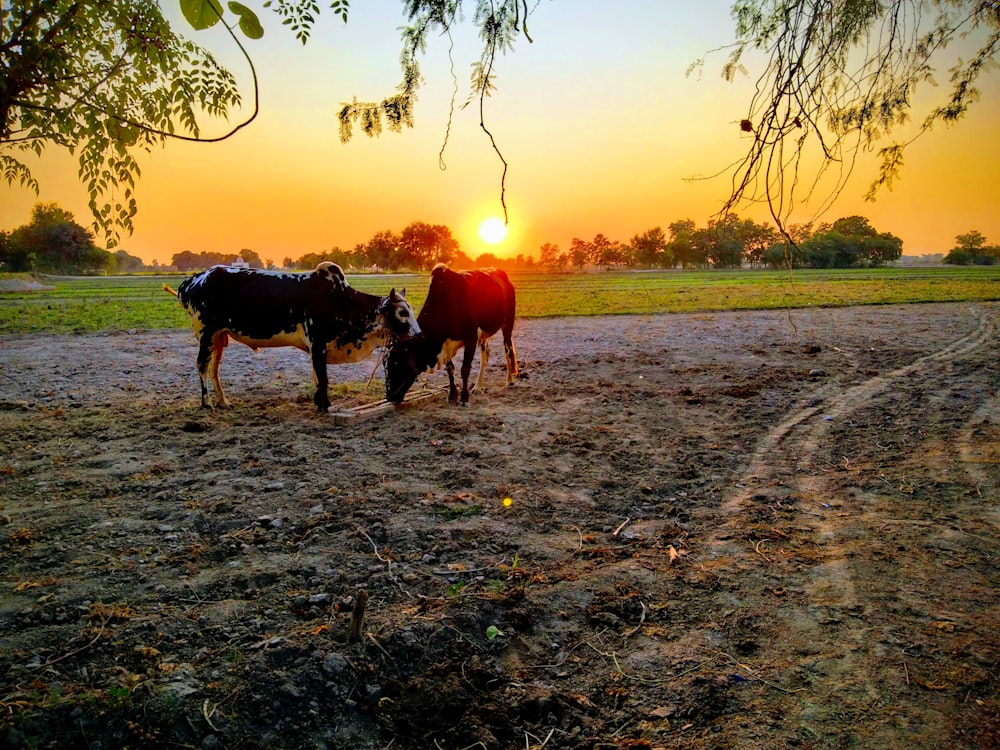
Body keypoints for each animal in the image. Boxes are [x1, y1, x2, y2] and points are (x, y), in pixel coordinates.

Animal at [168, 262, 418, 418]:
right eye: (402, 312)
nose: (418, 334)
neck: (340, 299)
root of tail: (194, 279)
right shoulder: (318, 343)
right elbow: (323, 378)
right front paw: (326, 406)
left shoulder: (317, 347)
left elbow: (317, 377)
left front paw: (318, 403)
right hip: (206, 334)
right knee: (202, 365)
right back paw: (207, 403)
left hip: (219, 337)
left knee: (214, 369)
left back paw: (222, 401)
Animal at [384, 262, 520, 406]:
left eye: (397, 363)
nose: (389, 397)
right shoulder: (446, 343)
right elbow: (450, 368)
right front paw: (452, 395)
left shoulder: (470, 337)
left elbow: (465, 369)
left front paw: (464, 398)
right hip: (483, 336)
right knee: (485, 356)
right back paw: (478, 386)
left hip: (507, 326)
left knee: (508, 351)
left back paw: (510, 380)